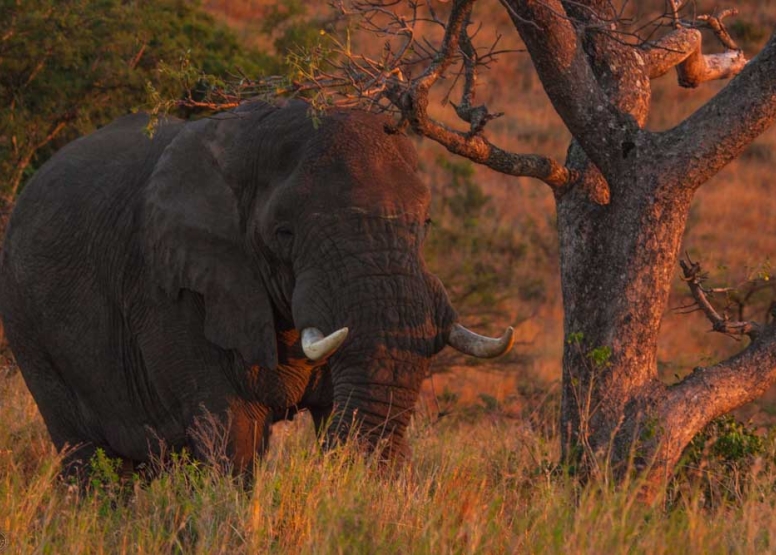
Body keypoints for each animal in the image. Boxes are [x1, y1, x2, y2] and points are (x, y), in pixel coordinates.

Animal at [0, 100, 516, 478]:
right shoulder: (172, 288)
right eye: (284, 232)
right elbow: (232, 435)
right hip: (30, 334)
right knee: (88, 460)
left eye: (426, 223)